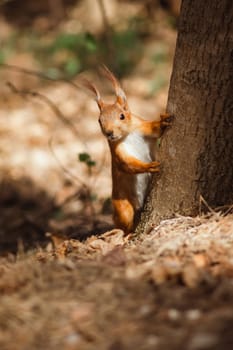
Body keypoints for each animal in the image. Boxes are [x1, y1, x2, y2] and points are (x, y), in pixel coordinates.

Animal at [83, 67, 170, 234]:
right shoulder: (117, 151)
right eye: (99, 120)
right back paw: (127, 234)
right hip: (123, 208)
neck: (127, 134)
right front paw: (149, 166)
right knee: (125, 226)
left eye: (122, 116)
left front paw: (163, 121)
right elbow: (127, 165)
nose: (109, 133)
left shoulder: (143, 127)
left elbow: (155, 129)